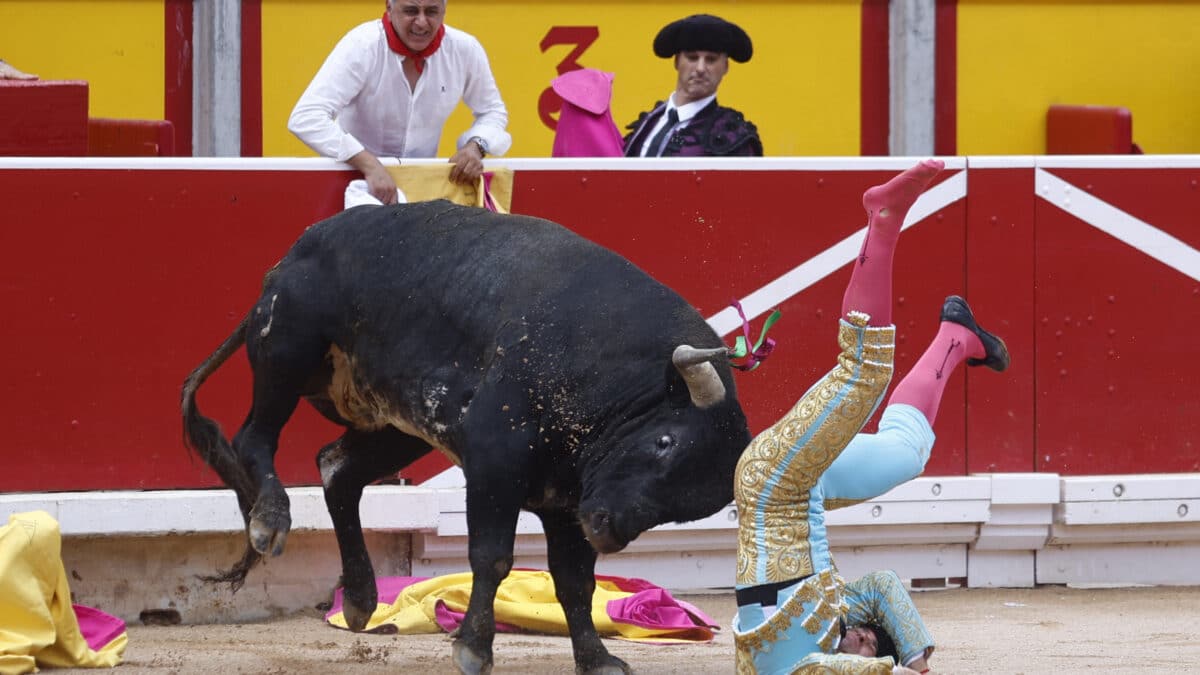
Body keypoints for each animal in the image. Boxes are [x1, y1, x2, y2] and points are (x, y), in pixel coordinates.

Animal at [180, 200, 748, 672]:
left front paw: (596, 659)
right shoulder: (495, 462)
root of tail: (291, 256)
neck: (612, 371)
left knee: (336, 468)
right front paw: (474, 648)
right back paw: (270, 521)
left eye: (684, 509)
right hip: (288, 350)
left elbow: (575, 582)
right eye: (664, 443)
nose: (608, 530)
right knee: (255, 439)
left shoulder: (569, 501)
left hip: (400, 427)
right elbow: (492, 557)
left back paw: (361, 599)